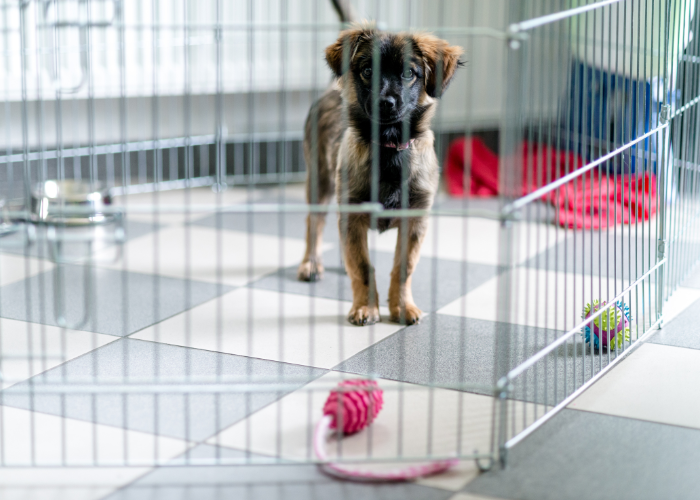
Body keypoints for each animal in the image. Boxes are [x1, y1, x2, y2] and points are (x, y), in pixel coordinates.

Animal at [298, 24, 462, 328]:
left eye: (409, 73)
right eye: (367, 71)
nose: (385, 102)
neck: (389, 146)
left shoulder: (415, 221)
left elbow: (403, 267)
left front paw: (402, 307)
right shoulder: (352, 214)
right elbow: (363, 266)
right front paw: (365, 308)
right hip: (319, 180)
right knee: (314, 223)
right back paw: (310, 264)